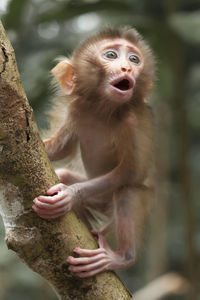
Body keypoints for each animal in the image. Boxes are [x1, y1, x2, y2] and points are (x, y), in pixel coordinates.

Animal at [32, 27, 156, 278]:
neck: (102, 110)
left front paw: (70, 195)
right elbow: (61, 149)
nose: (127, 68)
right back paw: (89, 231)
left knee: (126, 191)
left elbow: (131, 172)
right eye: (111, 55)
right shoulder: (76, 108)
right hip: (99, 201)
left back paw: (121, 257)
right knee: (64, 175)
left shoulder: (132, 122)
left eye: (134, 59)